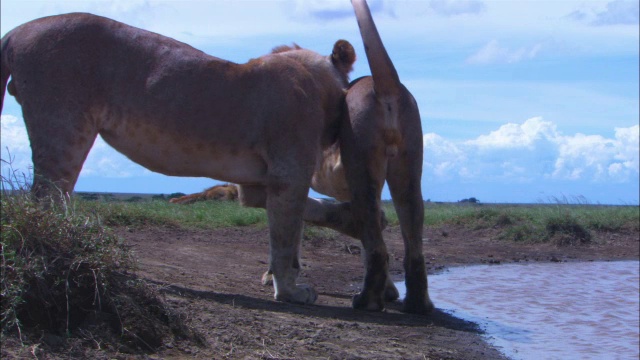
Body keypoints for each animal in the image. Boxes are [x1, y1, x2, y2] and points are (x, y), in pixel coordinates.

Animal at [1, 12, 356, 306]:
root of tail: (17, 31)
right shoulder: (289, 173)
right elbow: (286, 234)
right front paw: (290, 291)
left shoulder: (258, 184)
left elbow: (302, 219)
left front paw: (350, 221)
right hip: (64, 128)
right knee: (45, 199)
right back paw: (66, 254)